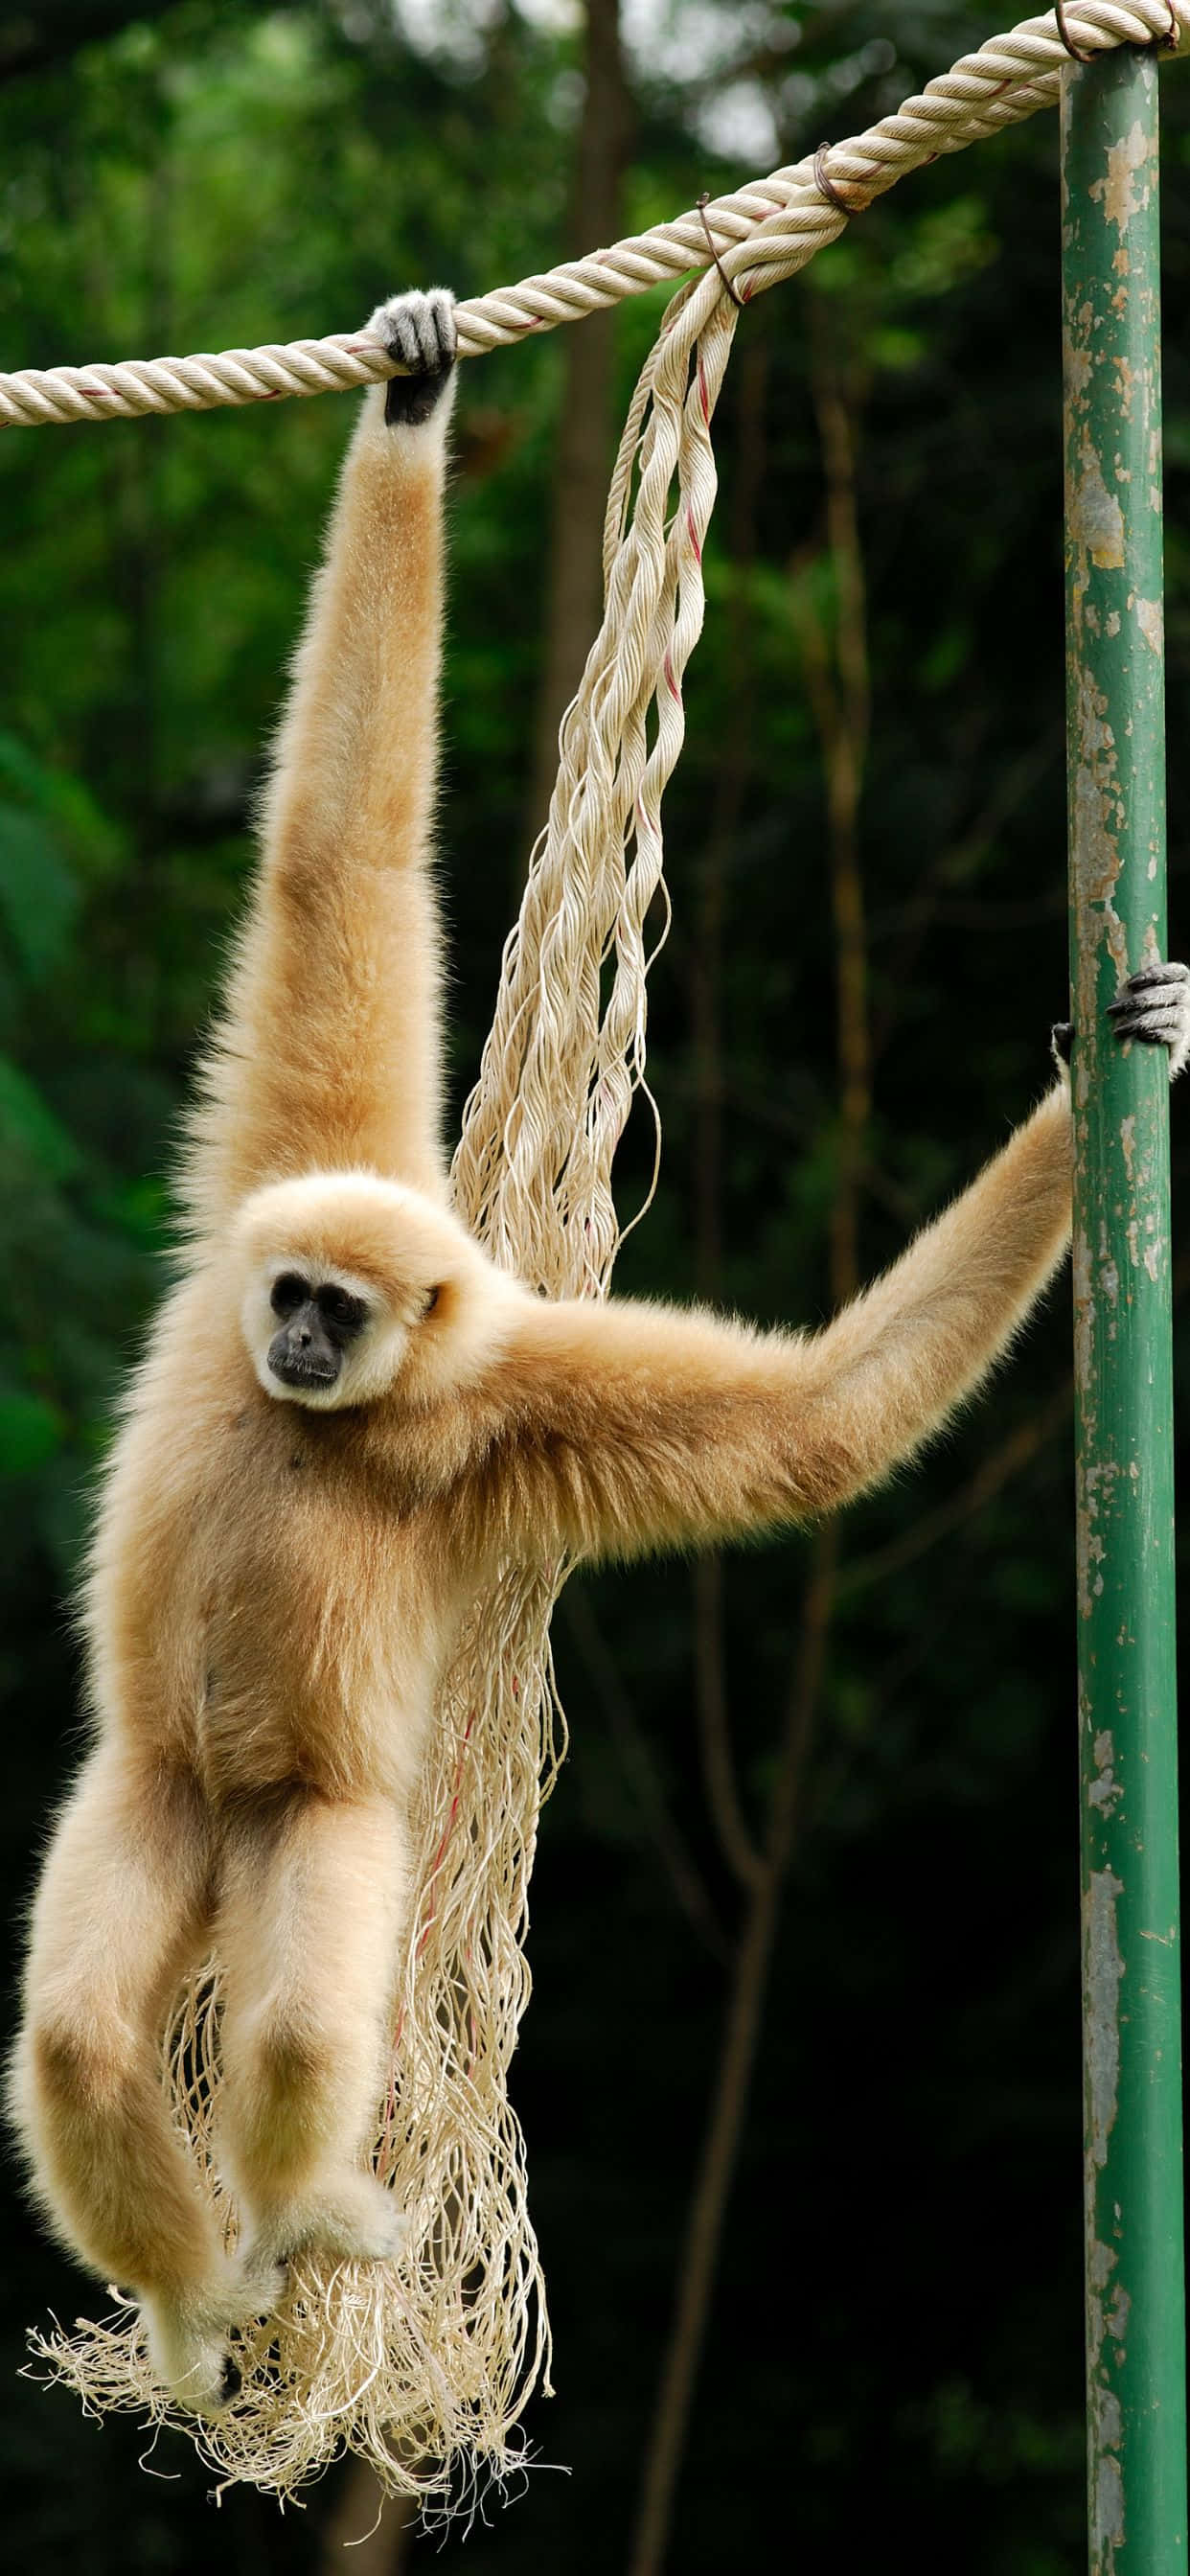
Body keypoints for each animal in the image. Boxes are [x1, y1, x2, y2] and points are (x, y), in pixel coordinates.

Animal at [9, 288, 1189, 2418]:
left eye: (339, 1312)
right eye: (289, 1292)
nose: (294, 1331)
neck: (345, 1413)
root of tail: (219, 1833)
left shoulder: (502, 1405)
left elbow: (808, 1427)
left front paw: (1088, 1110)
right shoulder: (265, 1191)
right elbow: (332, 867)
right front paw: (411, 401)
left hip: (316, 1827)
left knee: (295, 2021)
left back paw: (292, 2230)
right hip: (145, 1792)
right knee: (79, 2030)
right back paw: (198, 2297)